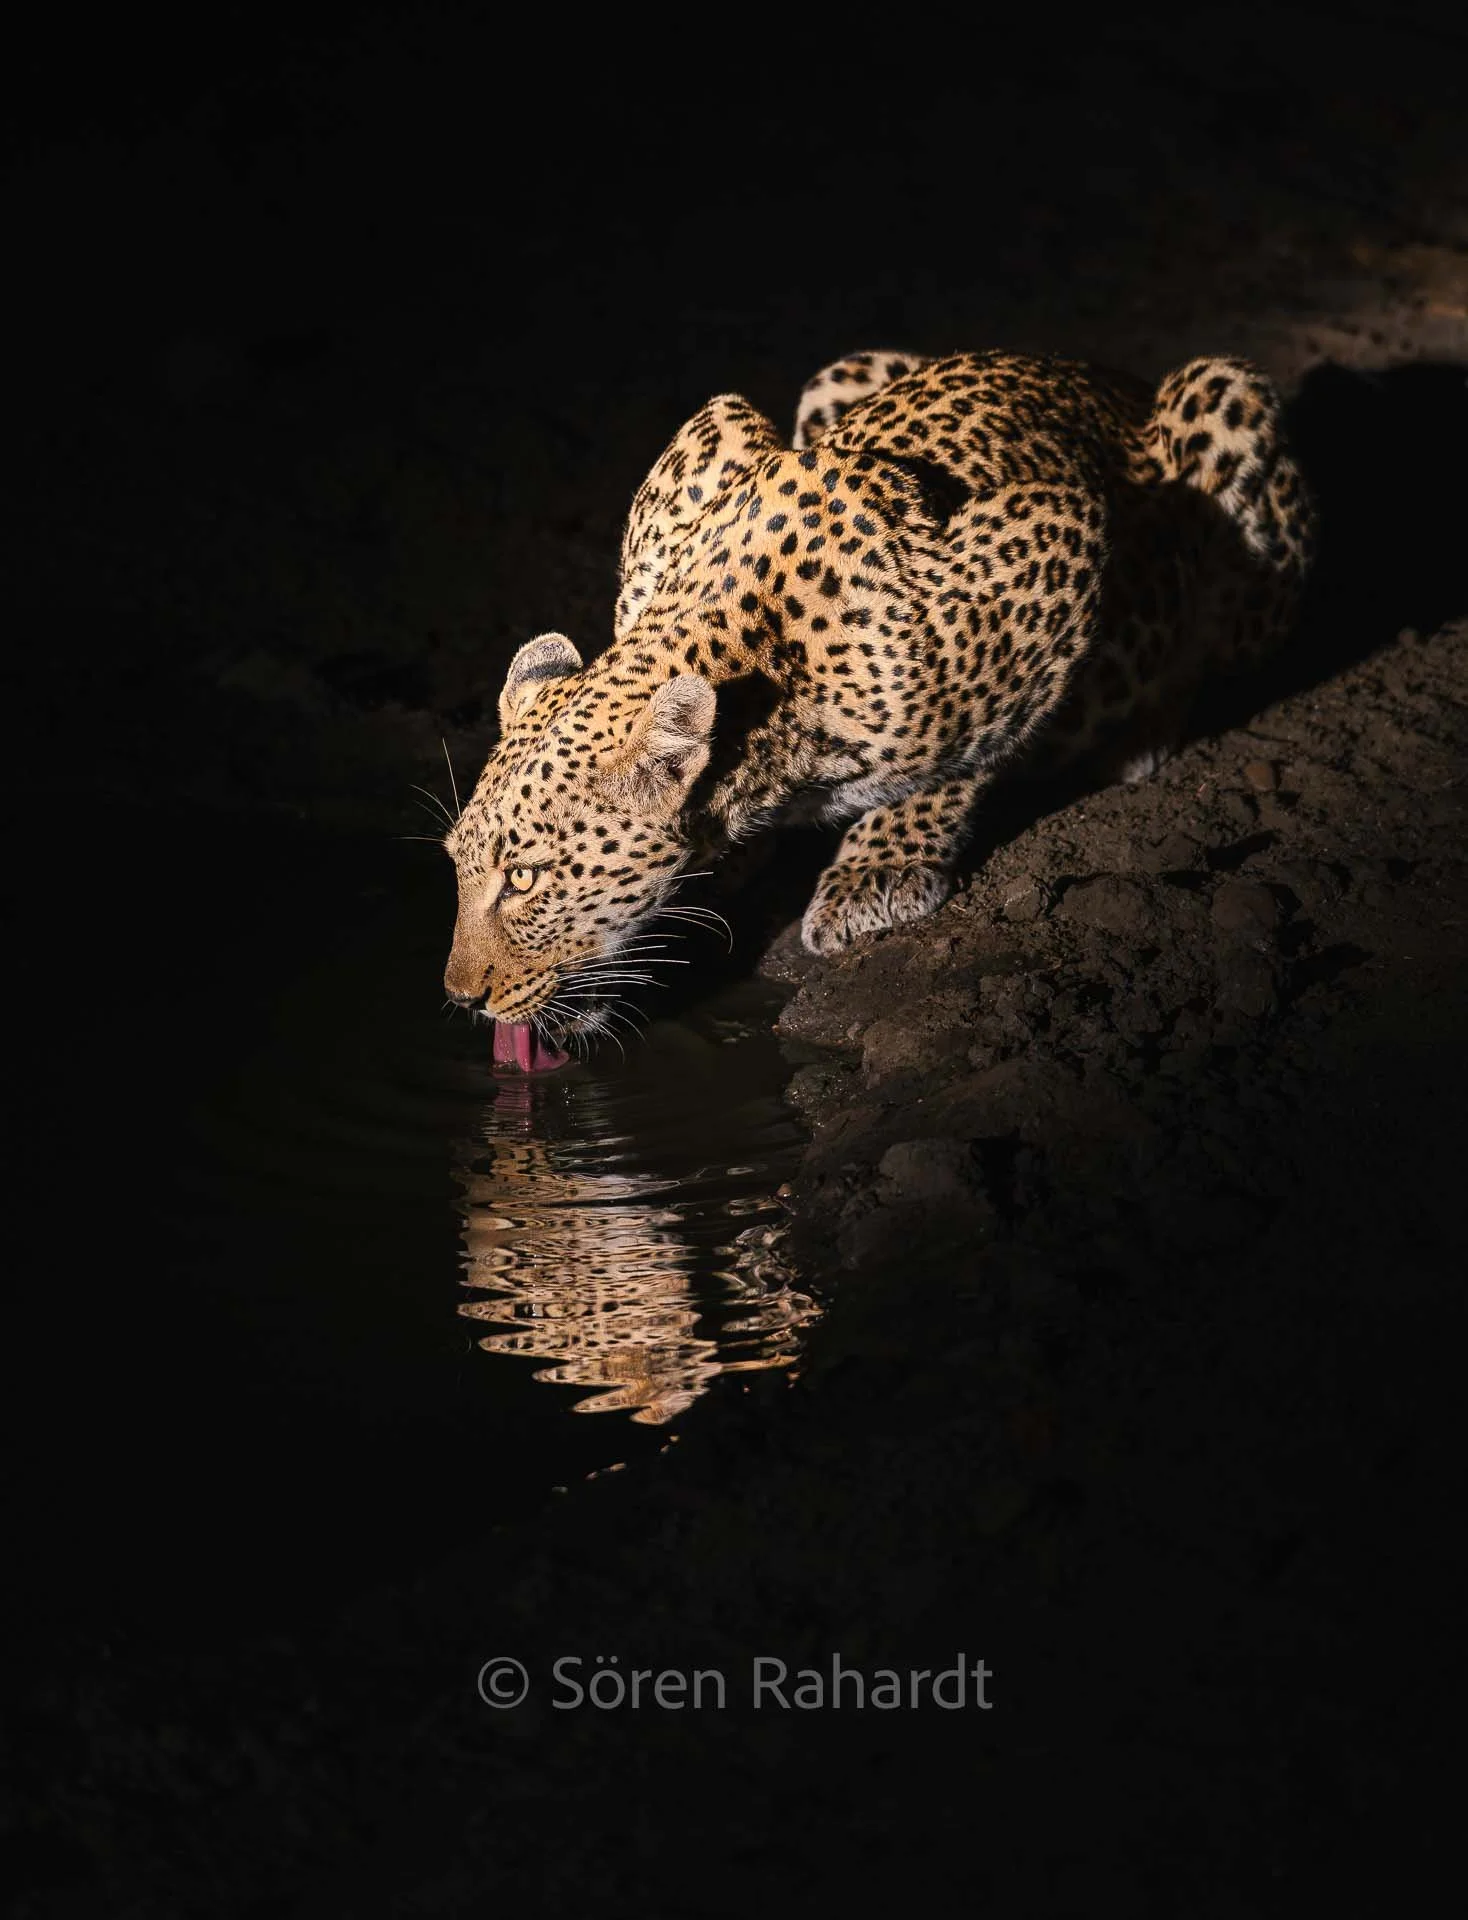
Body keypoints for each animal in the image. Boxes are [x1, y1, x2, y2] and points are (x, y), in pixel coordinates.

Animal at [443, 348, 1315, 1060]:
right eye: (456, 865)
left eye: (524, 878)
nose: (460, 997)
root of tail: (1115, 378)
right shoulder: (711, 430)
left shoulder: (1057, 531)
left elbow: (975, 738)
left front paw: (880, 868)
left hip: (1225, 412)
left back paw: (1140, 738)